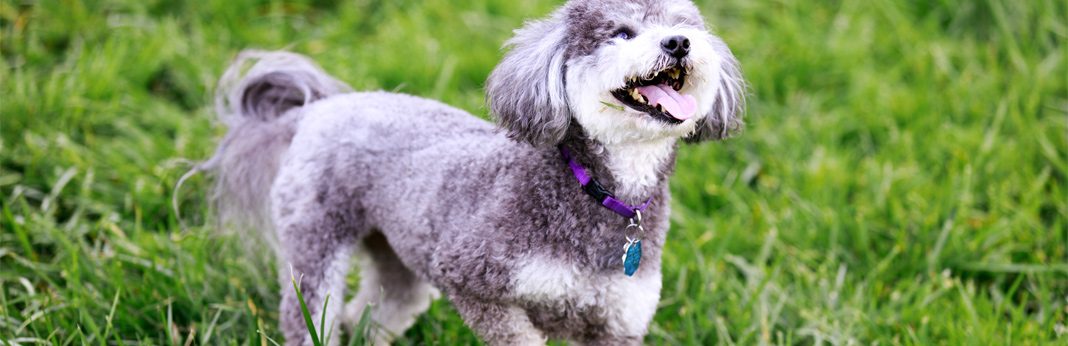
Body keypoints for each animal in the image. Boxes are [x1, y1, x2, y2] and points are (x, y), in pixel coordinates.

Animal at [201, 0, 743, 343]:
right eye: (622, 33)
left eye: (686, 25)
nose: (679, 42)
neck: (598, 192)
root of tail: (316, 109)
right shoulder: (470, 277)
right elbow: (517, 334)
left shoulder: (618, 324)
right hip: (315, 242)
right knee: (310, 314)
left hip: (396, 248)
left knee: (382, 306)